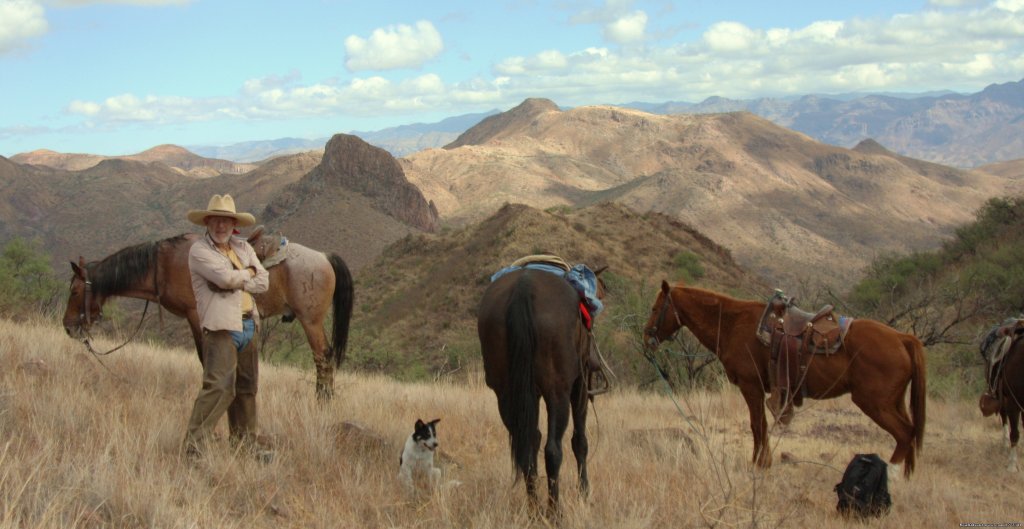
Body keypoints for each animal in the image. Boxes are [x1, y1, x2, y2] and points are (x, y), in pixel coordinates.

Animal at [64, 227, 354, 401]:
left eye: (75, 291)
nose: (68, 326)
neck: (164, 265)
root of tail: (324, 256)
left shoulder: (196, 315)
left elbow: (206, 358)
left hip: (310, 321)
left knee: (323, 357)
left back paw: (322, 401)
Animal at [479, 256, 606, 511]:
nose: (595, 363)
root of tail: (523, 287)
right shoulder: (579, 386)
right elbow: (580, 441)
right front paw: (584, 493)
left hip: (506, 395)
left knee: (526, 447)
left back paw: (535, 510)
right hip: (558, 392)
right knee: (553, 450)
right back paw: (554, 512)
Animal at [647, 280, 929, 478]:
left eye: (655, 308)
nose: (646, 335)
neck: (731, 323)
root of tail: (902, 338)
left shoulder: (751, 387)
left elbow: (757, 425)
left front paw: (759, 464)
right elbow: (760, 425)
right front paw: (764, 463)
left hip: (874, 402)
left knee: (905, 433)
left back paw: (893, 477)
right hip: (894, 402)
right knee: (911, 431)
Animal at [974, 315, 1024, 472]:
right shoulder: (1013, 403)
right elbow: (1015, 433)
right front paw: (1012, 465)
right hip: (1003, 398)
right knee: (1004, 417)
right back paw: (1004, 445)